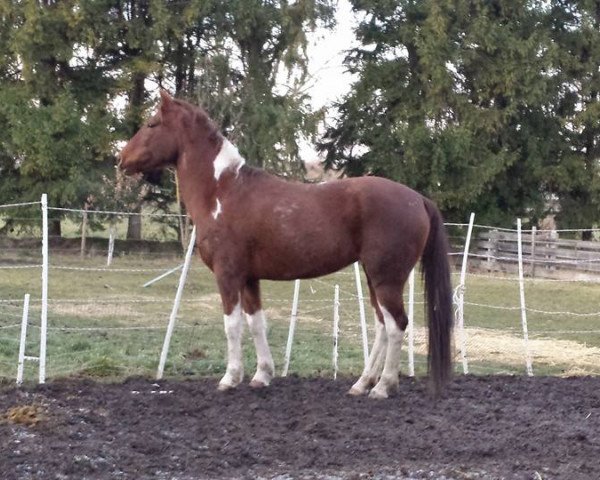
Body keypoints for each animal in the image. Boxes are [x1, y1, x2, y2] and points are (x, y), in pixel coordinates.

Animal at [119, 90, 452, 398]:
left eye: (151, 124)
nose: (121, 159)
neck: (223, 191)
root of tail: (417, 198)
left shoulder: (228, 275)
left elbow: (232, 326)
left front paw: (230, 378)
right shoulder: (249, 279)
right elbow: (256, 323)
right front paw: (261, 375)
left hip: (387, 278)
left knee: (396, 326)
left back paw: (383, 387)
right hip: (374, 278)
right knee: (382, 325)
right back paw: (361, 384)